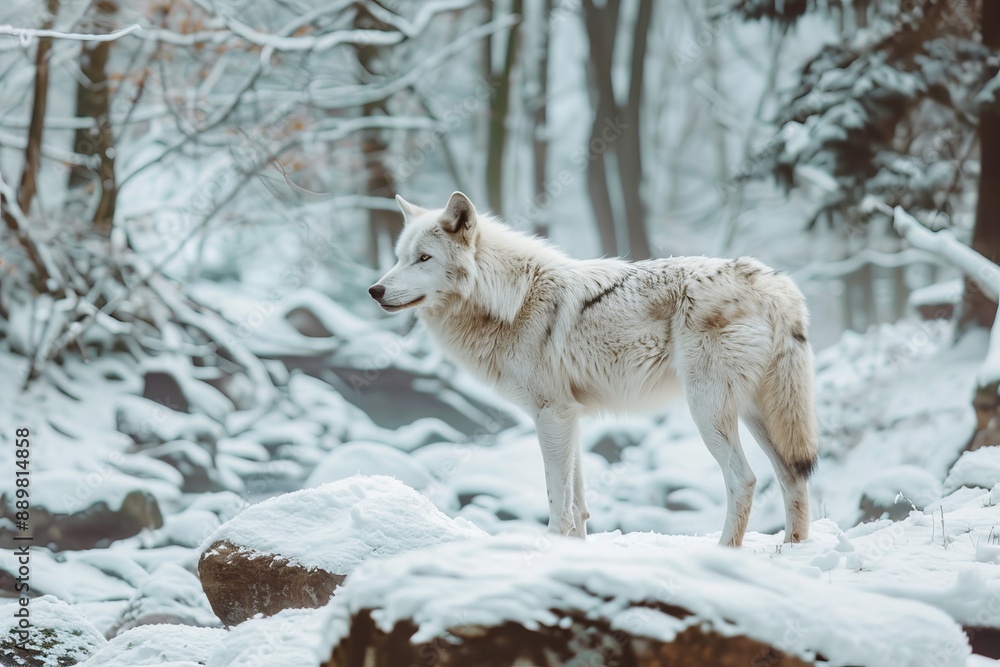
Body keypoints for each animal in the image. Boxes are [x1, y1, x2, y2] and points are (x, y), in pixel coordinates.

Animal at [368, 192, 818, 547]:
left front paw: (549, 547)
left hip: (708, 411)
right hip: (760, 414)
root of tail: (775, 286)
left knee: (744, 479)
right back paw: (793, 549)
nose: (374, 290)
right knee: (792, 477)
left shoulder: (550, 414)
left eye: (424, 259)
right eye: (399, 259)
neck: (511, 300)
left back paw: (725, 551)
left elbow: (557, 500)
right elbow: (579, 504)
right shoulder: (570, 417)